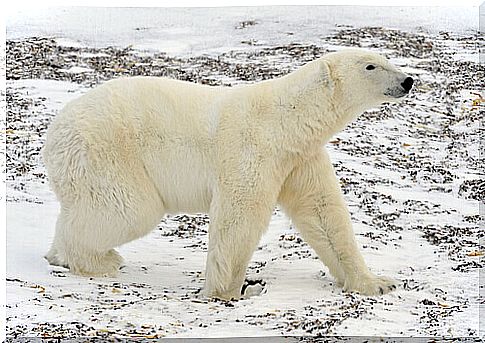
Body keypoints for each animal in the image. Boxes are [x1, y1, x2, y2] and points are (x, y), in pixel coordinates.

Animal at [43, 48, 412, 300]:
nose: (407, 80)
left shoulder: (299, 158)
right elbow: (240, 216)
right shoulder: (253, 149)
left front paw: (376, 283)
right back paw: (101, 261)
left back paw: (60, 254)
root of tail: (54, 136)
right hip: (109, 152)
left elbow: (323, 213)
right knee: (130, 209)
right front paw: (230, 291)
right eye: (370, 66)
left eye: (385, 59)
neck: (285, 120)